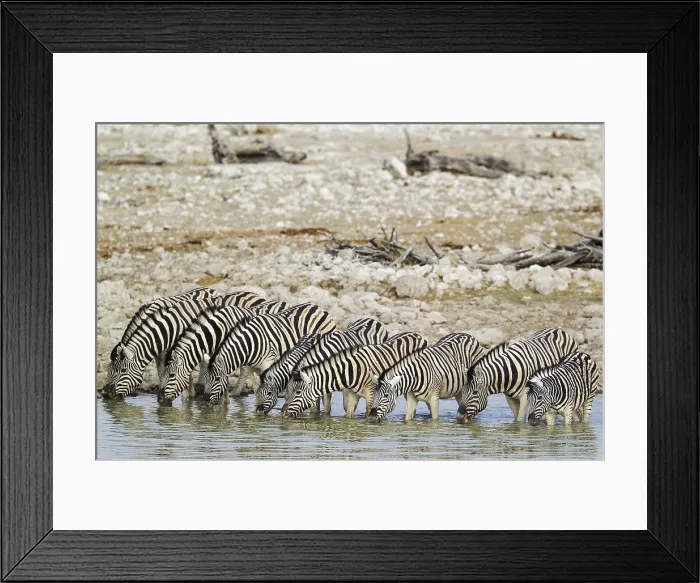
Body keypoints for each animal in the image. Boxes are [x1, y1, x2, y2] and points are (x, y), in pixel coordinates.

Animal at [202, 303, 337, 404]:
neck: (251, 343)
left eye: (217, 379)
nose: (205, 399)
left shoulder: (268, 363)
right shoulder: (251, 367)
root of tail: (319, 308)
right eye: (206, 378)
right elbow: (257, 389)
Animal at [282, 331, 428, 419]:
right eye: (287, 389)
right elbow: (348, 414)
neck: (351, 370)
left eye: (298, 392)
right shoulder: (353, 392)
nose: (283, 413)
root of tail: (417, 334)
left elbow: (368, 413)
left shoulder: (370, 393)